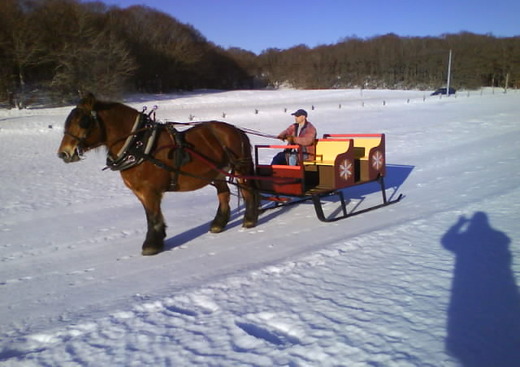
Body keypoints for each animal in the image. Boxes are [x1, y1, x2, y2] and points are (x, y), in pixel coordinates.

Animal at [57, 93, 258, 256]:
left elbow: (153, 217)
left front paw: (151, 245)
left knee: (247, 190)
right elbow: (151, 215)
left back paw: (249, 220)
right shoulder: (140, 192)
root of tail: (236, 130)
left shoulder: (150, 191)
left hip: (240, 169)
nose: (64, 153)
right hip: (217, 173)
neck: (138, 145)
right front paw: (158, 240)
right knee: (224, 194)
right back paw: (218, 224)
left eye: (83, 122)